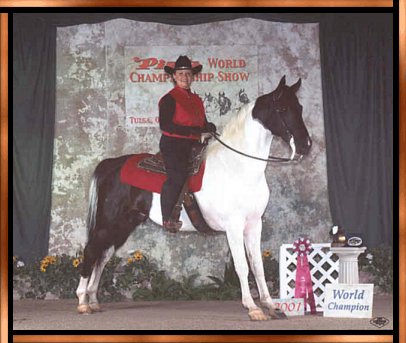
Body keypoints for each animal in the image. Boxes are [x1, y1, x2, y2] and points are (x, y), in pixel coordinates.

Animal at [75, 76, 310, 322]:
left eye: (300, 107)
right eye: (282, 109)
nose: (305, 145)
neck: (237, 166)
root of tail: (111, 164)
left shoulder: (254, 224)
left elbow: (258, 266)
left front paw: (271, 307)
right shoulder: (234, 227)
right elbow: (242, 267)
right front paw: (253, 308)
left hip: (124, 224)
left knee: (102, 256)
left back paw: (94, 301)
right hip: (107, 223)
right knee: (91, 252)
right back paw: (82, 302)